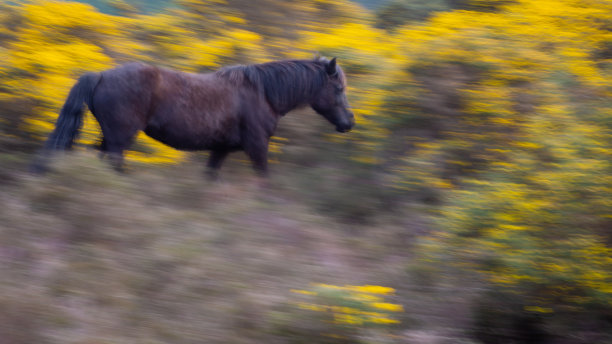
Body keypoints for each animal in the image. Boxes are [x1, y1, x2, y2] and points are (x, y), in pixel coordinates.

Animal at [33, 56, 356, 177]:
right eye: (338, 88)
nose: (348, 122)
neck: (263, 93)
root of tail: (100, 75)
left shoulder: (220, 149)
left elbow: (210, 177)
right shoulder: (257, 146)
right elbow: (263, 180)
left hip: (110, 138)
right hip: (119, 139)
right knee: (114, 163)